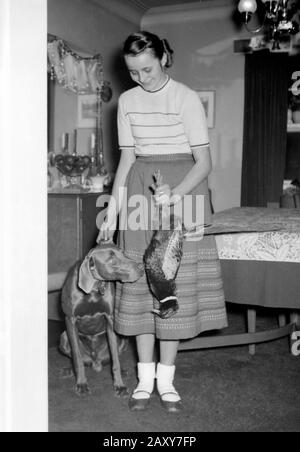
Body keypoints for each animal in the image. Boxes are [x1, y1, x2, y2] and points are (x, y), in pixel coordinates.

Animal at [59, 240, 144, 396]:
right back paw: (68, 370)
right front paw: (81, 384)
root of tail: (95, 363)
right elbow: (77, 359)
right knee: (75, 358)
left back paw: (123, 371)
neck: (93, 288)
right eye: (111, 259)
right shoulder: (70, 319)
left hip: (122, 339)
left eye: (123, 253)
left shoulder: (110, 319)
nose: (142, 266)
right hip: (63, 337)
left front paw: (119, 385)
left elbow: (115, 361)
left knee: (113, 358)